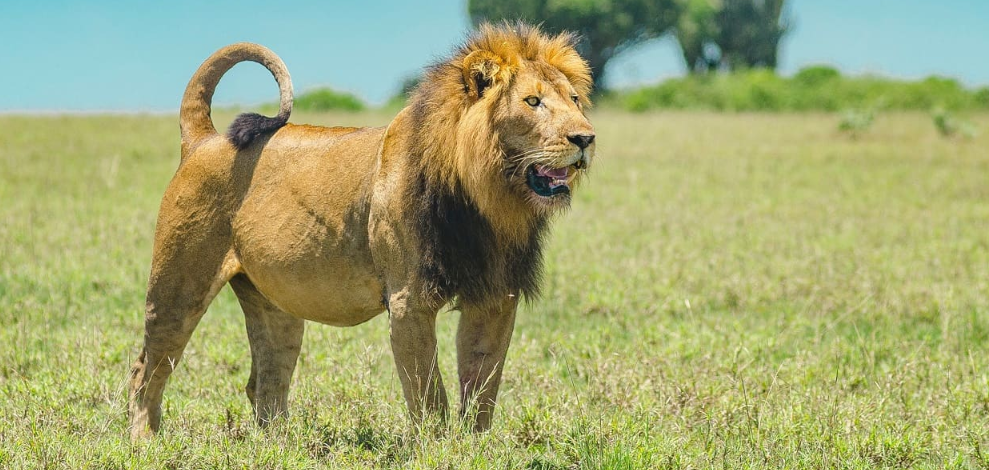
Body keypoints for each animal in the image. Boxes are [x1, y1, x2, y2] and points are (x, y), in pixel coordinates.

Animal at [129, 22, 596, 440]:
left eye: (575, 99)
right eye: (533, 101)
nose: (586, 138)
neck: (488, 199)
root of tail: (205, 139)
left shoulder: (496, 297)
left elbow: (482, 387)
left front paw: (474, 449)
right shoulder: (409, 301)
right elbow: (429, 395)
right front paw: (438, 449)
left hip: (274, 304)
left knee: (264, 382)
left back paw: (282, 445)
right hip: (178, 285)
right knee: (145, 371)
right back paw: (144, 441)